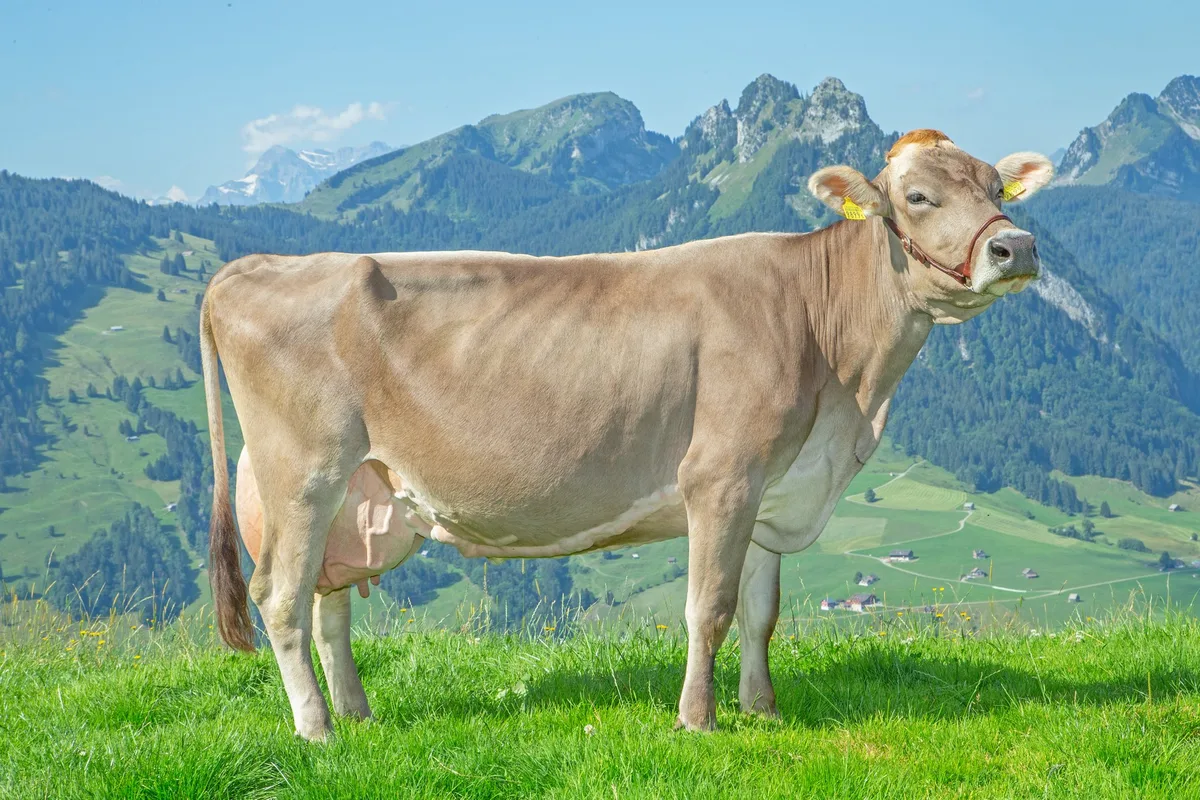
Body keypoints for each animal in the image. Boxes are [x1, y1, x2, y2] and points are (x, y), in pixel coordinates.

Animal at [201, 129, 1053, 740]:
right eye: (917, 196)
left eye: (994, 187)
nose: (1016, 247)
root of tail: (251, 267)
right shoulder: (721, 475)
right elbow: (709, 608)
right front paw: (698, 720)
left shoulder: (774, 490)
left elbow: (762, 612)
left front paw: (764, 710)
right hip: (302, 474)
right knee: (280, 597)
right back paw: (317, 731)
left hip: (357, 493)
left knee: (327, 603)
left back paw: (359, 714)